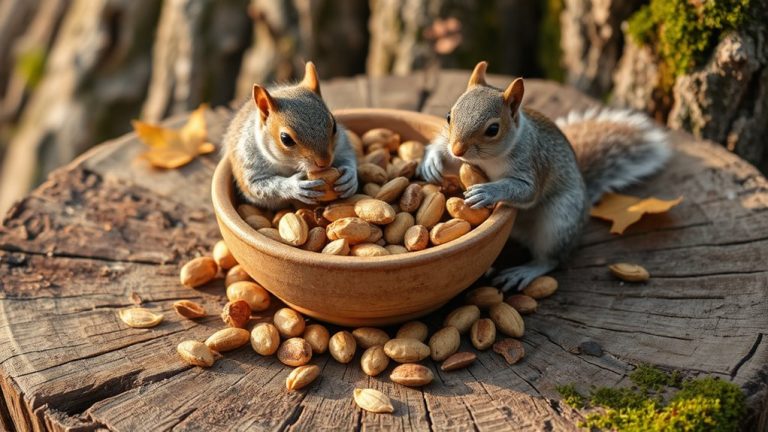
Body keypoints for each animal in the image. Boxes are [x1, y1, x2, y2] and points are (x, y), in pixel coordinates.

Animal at [223, 62, 358, 210]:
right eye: (286, 139)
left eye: (334, 126)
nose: (324, 162)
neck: (289, 165)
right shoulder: (250, 160)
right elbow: (259, 186)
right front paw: (294, 186)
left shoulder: (341, 143)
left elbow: (348, 155)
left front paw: (350, 176)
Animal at [419, 61, 670, 291]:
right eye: (448, 116)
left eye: (493, 129)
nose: (458, 149)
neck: (490, 159)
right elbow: (446, 154)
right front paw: (432, 160)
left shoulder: (531, 164)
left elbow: (526, 191)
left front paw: (487, 191)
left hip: (559, 220)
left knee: (551, 259)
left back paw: (525, 271)